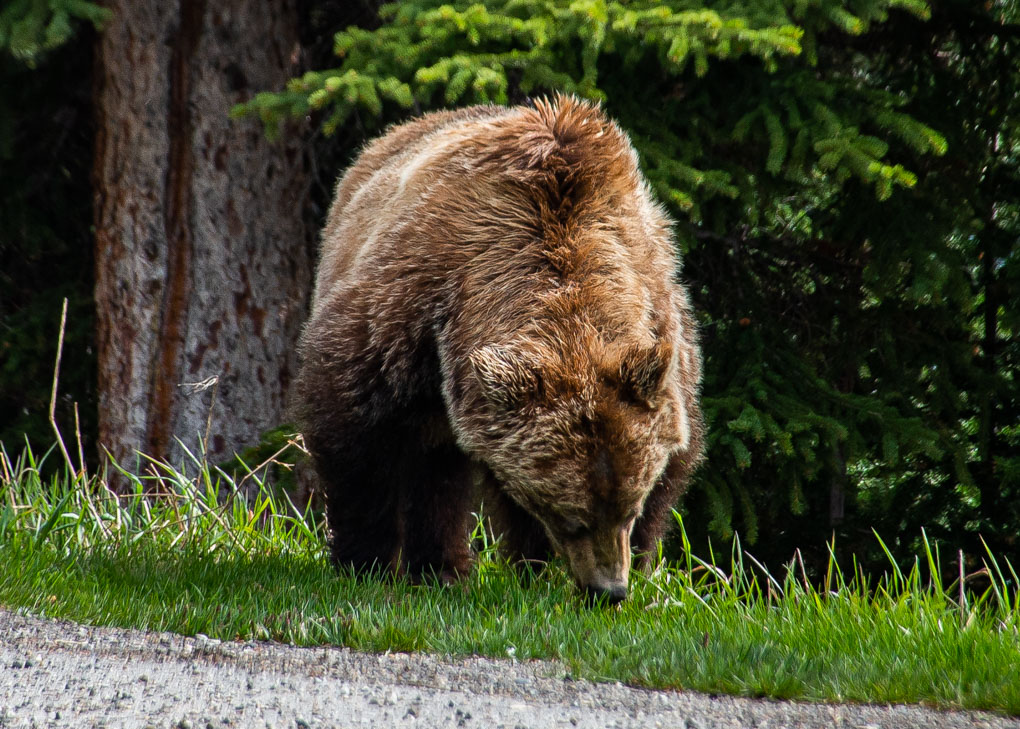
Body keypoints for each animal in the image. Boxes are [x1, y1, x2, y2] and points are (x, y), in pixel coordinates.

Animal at [296, 95, 704, 603]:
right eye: (570, 516)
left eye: (629, 507)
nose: (608, 590)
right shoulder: (408, 312)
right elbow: (355, 427)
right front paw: (365, 562)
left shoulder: (662, 314)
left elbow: (678, 448)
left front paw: (640, 562)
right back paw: (441, 566)